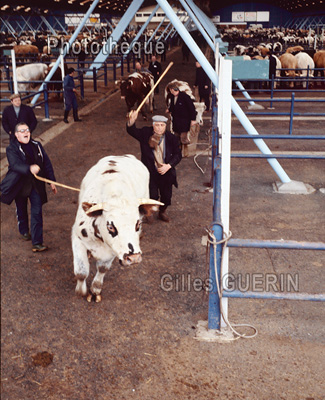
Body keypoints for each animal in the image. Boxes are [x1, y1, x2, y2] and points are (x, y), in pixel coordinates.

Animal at [72, 155, 161, 302]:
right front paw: (81, 290)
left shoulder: (113, 250)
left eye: (138, 224)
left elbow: (103, 268)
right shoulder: (77, 238)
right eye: (110, 226)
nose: (134, 258)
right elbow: (81, 271)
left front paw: (95, 290)